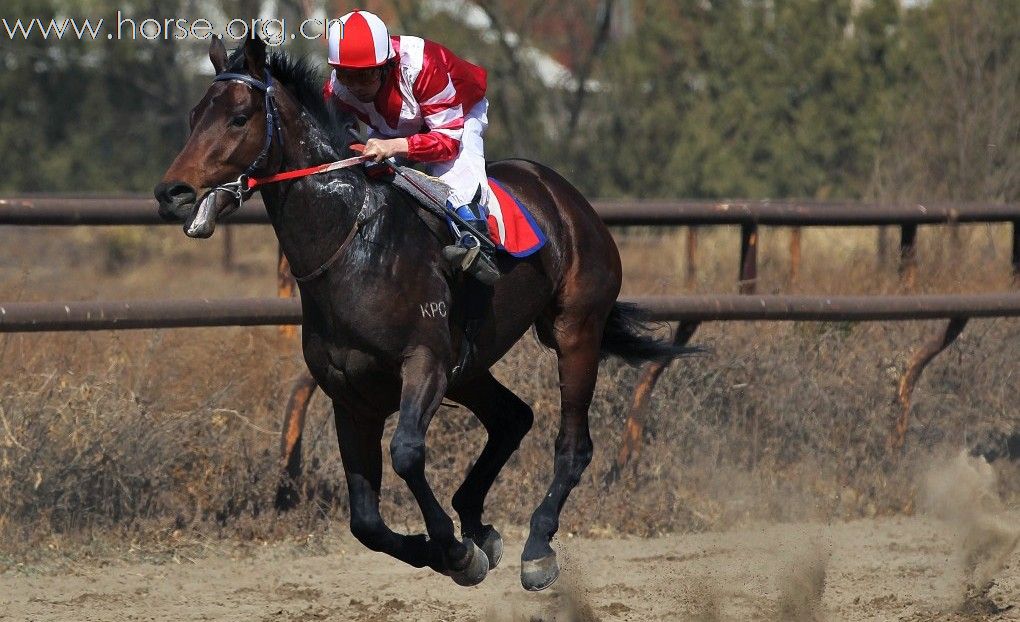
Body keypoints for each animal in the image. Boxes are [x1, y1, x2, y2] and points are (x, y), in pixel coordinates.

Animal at [155, 35, 681, 591]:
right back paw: (479, 521)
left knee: (573, 443)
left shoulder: (424, 362)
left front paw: (456, 551)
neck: (355, 247)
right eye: (193, 116)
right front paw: (452, 548)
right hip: (470, 365)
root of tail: (565, 195)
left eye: (239, 117)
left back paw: (537, 544)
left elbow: (407, 453)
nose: (172, 193)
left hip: (576, 330)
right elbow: (365, 522)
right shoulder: (350, 396)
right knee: (513, 417)